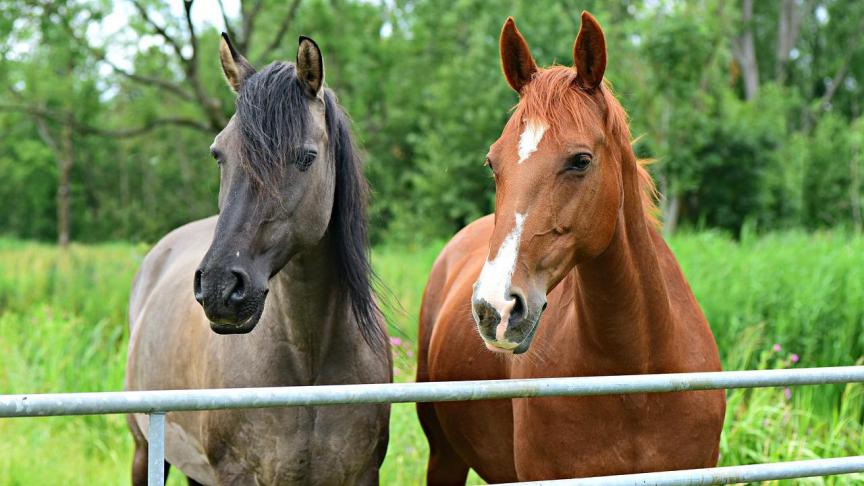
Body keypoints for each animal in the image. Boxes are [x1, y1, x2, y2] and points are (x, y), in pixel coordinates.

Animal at [125, 35, 392, 486]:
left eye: (305, 157)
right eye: (218, 153)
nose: (219, 287)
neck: (307, 363)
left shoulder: (361, 474)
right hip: (146, 451)